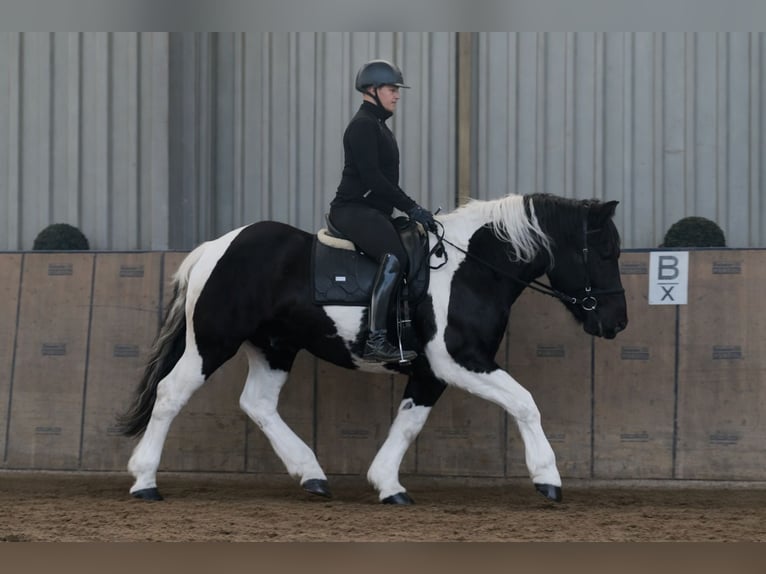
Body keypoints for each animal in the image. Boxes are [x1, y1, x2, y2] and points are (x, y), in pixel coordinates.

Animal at [119, 192, 627, 504]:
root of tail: (215, 247)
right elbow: (525, 403)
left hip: (276, 346)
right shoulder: (460, 362)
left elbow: (408, 425)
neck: (471, 269)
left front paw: (387, 484)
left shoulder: (430, 372)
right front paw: (548, 478)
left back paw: (311, 473)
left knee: (258, 403)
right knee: (170, 394)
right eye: (605, 253)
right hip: (212, 341)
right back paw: (144, 481)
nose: (616, 322)